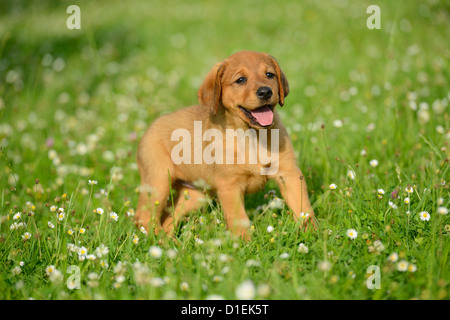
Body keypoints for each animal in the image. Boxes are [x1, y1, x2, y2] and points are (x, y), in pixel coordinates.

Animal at [135, 50, 314, 239]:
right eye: (240, 80)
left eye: (269, 75)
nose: (265, 92)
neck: (252, 136)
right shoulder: (230, 186)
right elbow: (239, 220)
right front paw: (245, 244)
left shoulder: (289, 174)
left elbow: (304, 210)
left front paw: (313, 235)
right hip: (158, 181)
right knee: (145, 217)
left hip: (194, 195)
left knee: (168, 218)